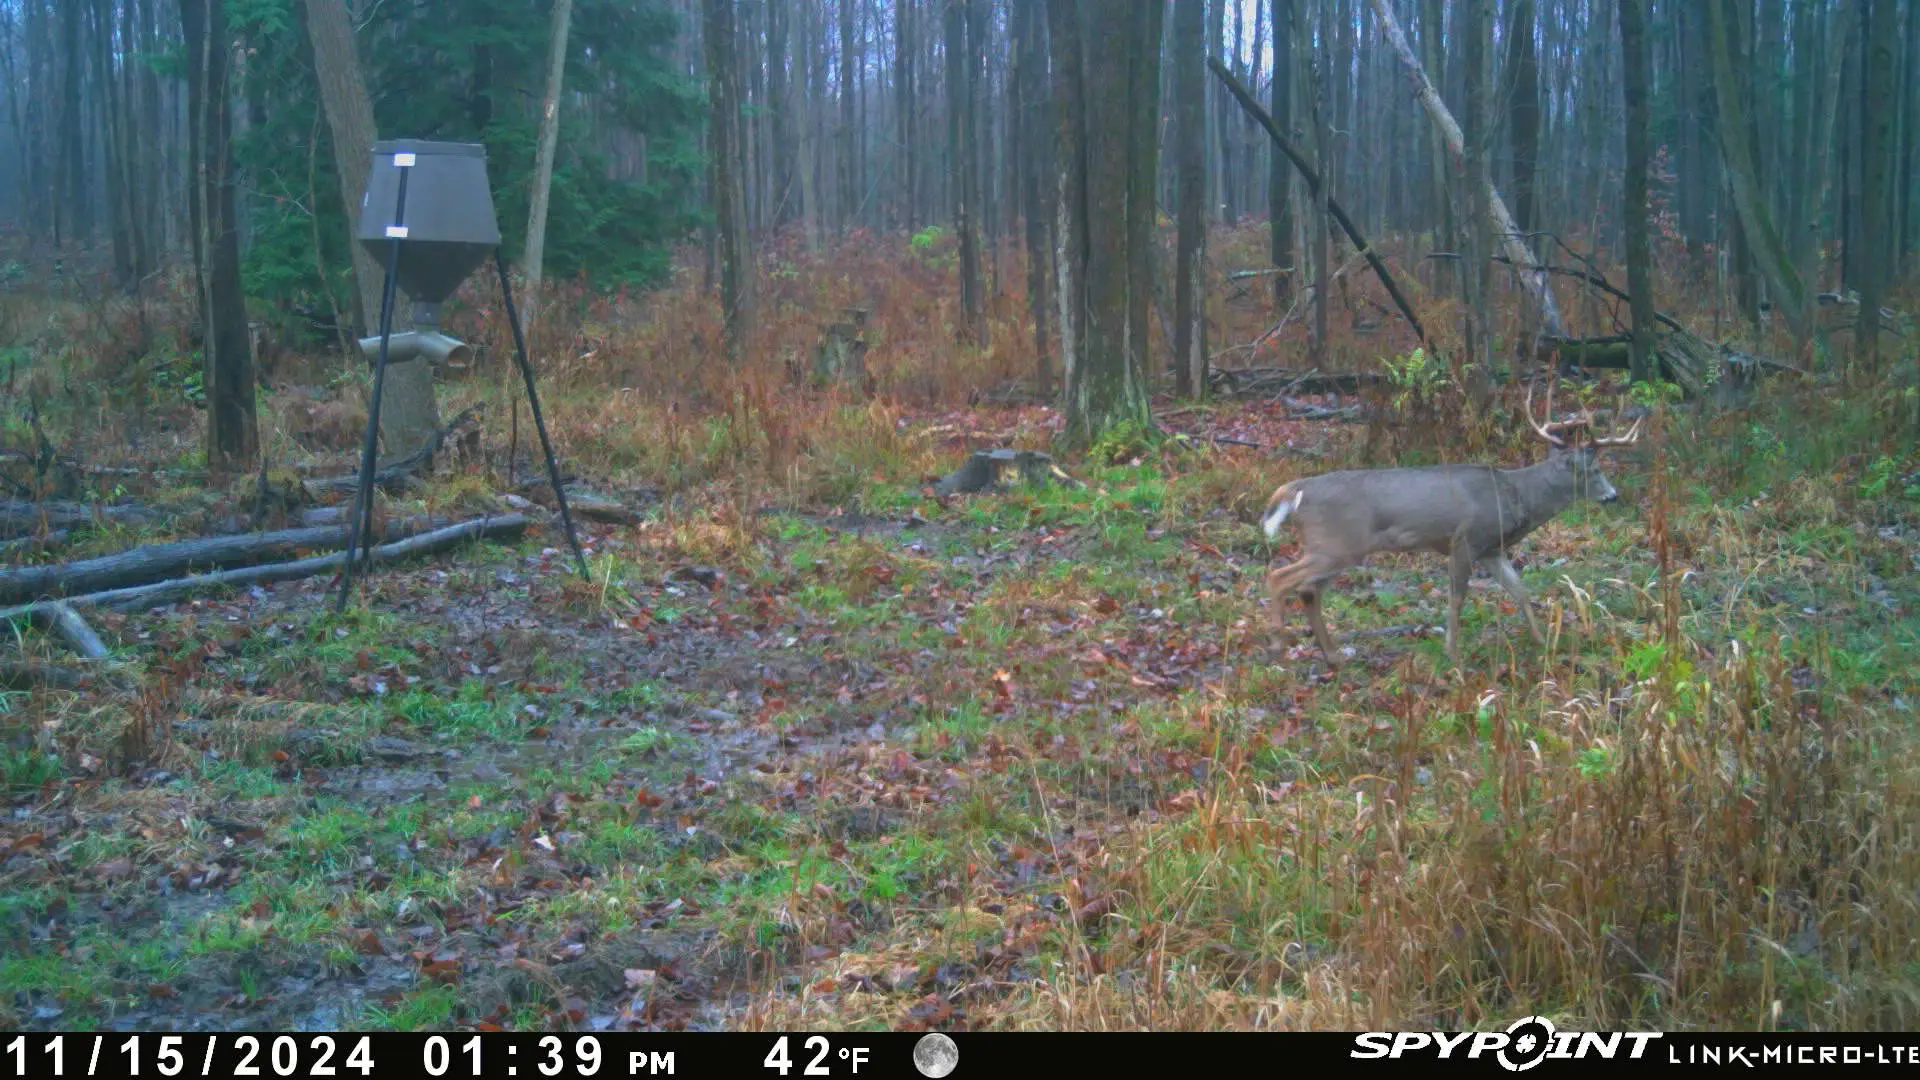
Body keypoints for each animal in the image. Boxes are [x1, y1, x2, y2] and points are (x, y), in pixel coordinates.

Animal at [1259, 382, 1643, 666]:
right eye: (1594, 470)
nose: (1614, 496)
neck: (1515, 495)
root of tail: (1296, 490)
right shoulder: (1465, 539)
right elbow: (1457, 597)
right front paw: (1452, 653)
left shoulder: (1492, 548)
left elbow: (1519, 591)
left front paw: (1542, 642)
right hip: (1336, 544)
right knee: (1280, 577)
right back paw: (1277, 646)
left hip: (1335, 549)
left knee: (1308, 590)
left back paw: (1334, 656)